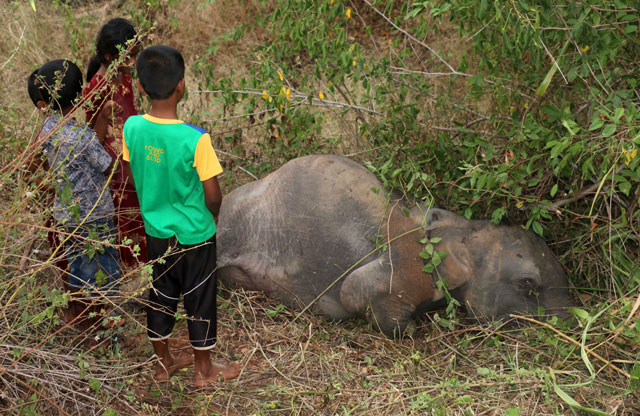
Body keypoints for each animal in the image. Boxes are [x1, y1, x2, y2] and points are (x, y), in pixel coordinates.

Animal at [218, 154, 576, 336]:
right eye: (527, 283)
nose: (575, 323)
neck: (462, 229)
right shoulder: (406, 267)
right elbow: (354, 292)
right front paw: (416, 331)